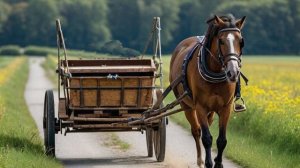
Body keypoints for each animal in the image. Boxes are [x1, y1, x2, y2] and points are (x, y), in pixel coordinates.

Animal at [170, 14, 245, 168]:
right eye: (221, 41)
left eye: (241, 42)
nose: (233, 72)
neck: (215, 72)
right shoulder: (201, 107)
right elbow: (206, 138)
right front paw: (209, 163)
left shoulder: (226, 108)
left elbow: (221, 140)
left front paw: (218, 163)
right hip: (187, 106)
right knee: (196, 131)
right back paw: (200, 159)